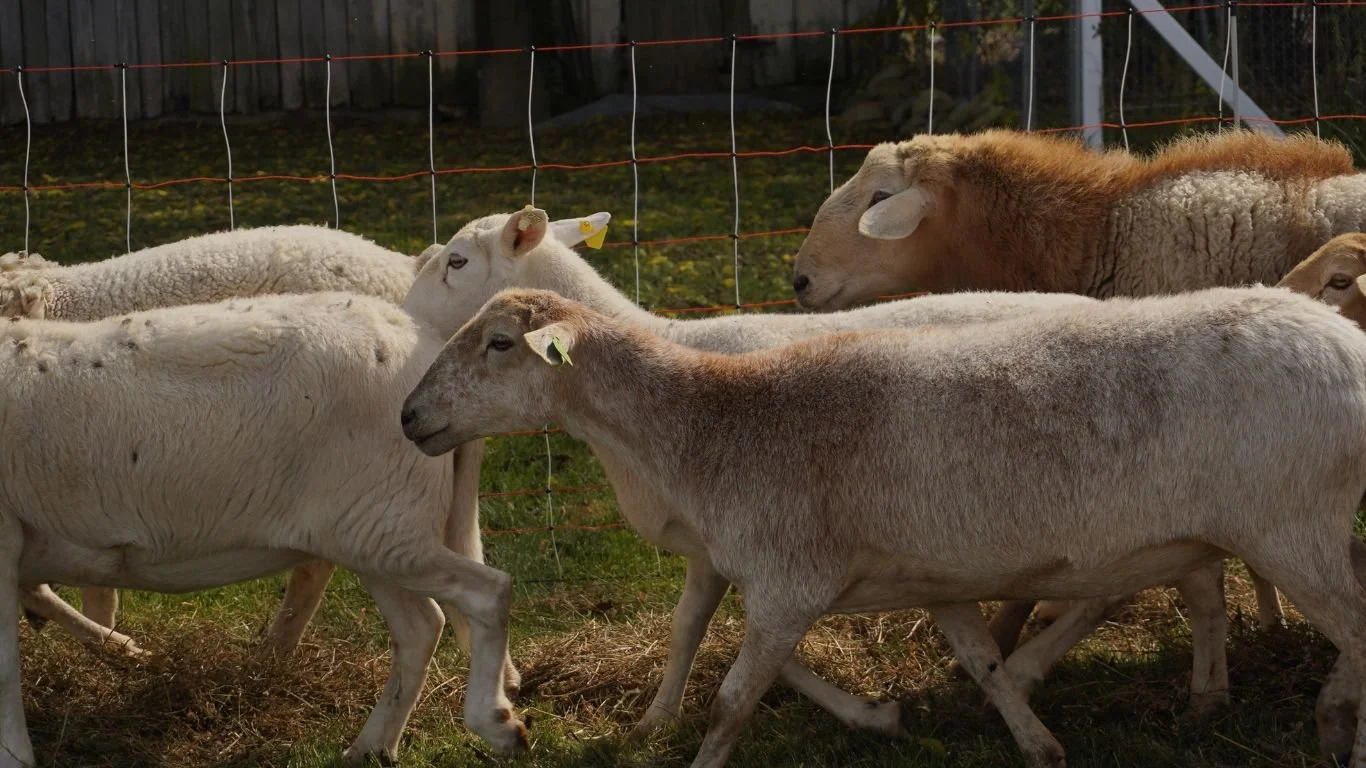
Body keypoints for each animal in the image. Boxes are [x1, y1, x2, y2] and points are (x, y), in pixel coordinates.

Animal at [0, 291, 527, 768]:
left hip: (382, 525)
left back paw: (496, 724)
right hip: (372, 527)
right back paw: (372, 747)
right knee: (421, 628)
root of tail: (422, 344)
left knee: (487, 592)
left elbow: (6, 668)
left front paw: (16, 756)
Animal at [402, 286, 1366, 768]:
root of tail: (1343, 338)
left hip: (1291, 524)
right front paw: (1036, 743)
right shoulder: (931, 582)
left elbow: (732, 698)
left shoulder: (786, 580)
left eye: (497, 344)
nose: (410, 417)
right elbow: (981, 664)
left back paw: (1334, 721)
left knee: (1354, 631)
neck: (708, 424)